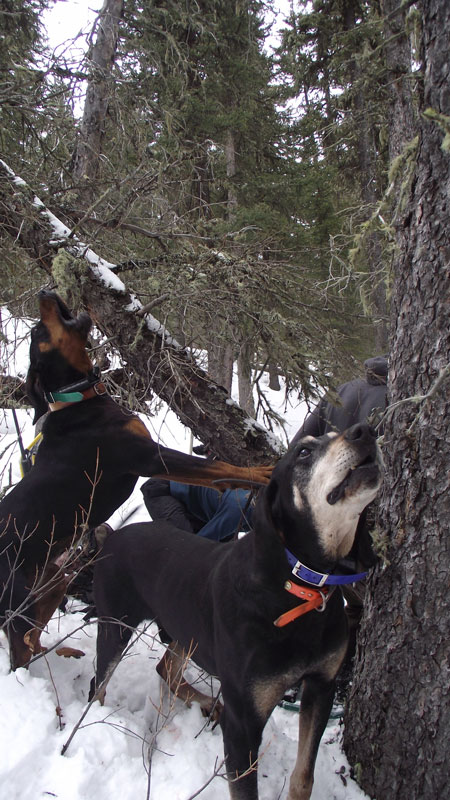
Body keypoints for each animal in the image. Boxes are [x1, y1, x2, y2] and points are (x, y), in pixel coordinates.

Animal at [0, 290, 272, 669]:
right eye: (38, 332)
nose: (45, 291)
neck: (78, 399)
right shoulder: (149, 457)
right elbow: (218, 470)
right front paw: (260, 472)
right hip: (19, 603)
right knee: (19, 657)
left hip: (52, 583)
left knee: (33, 641)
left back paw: (66, 652)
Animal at [91, 423, 383, 800]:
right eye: (303, 451)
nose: (365, 430)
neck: (300, 585)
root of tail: (110, 537)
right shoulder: (244, 722)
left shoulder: (321, 686)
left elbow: (303, 778)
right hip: (115, 627)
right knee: (100, 683)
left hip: (188, 629)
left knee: (166, 666)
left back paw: (206, 701)